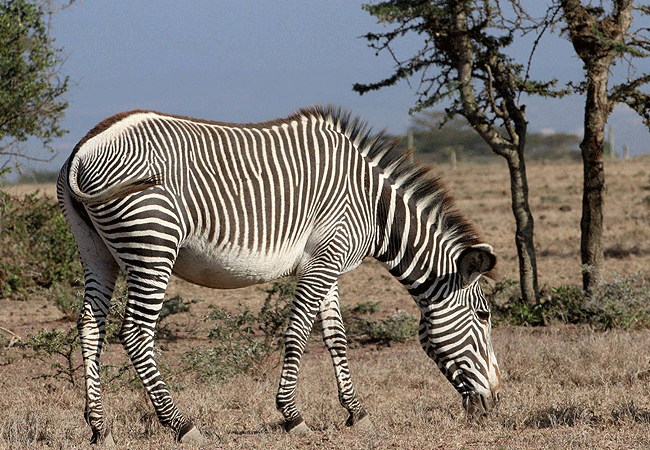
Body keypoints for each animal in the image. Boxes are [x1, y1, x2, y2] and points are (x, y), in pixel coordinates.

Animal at [57, 106, 501, 444]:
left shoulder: (328, 263)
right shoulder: (325, 258)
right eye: (484, 315)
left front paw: (357, 412)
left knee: (90, 327)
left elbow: (336, 337)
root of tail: (83, 147)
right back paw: (182, 425)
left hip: (95, 251)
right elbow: (298, 333)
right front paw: (292, 416)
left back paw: (99, 428)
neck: (376, 209)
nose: (494, 404)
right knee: (135, 333)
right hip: (152, 244)